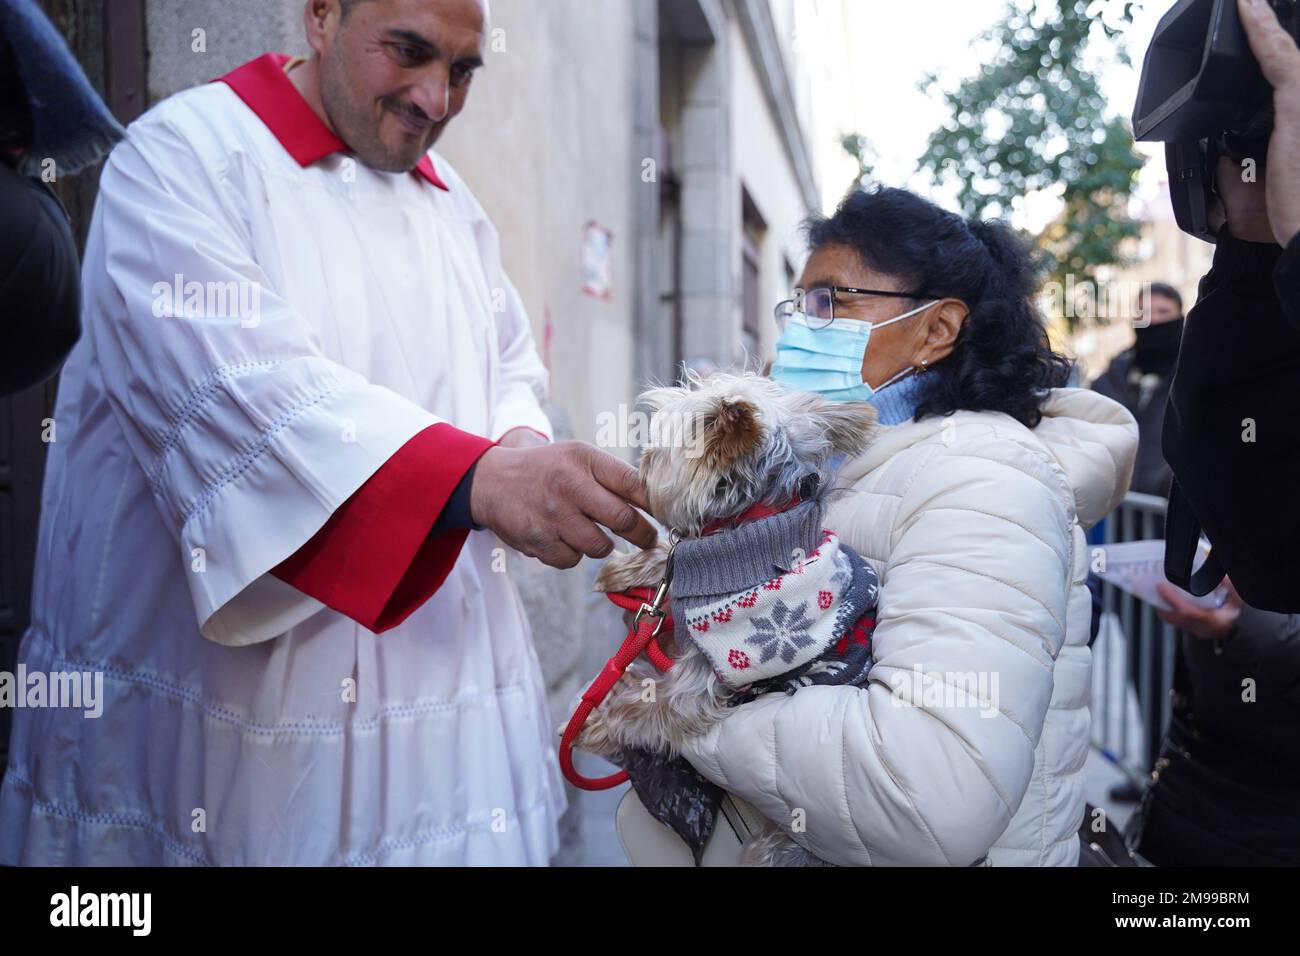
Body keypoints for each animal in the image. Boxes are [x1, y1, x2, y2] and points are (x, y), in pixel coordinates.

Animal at [574, 374, 878, 868]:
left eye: (655, 455)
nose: (640, 463)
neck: (748, 526)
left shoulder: (704, 674)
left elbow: (648, 703)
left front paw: (592, 720)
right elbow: (668, 556)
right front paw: (621, 570)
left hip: (780, 846)